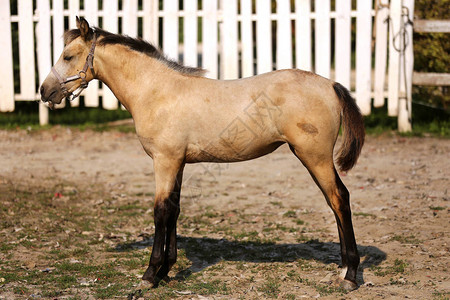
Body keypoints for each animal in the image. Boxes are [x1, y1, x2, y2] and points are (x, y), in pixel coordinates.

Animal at [40, 17, 366, 290]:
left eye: (68, 56)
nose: (45, 91)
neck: (157, 92)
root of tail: (331, 84)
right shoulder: (178, 163)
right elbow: (173, 208)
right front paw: (166, 270)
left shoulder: (165, 161)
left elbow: (160, 211)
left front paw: (150, 274)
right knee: (335, 201)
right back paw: (343, 268)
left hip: (315, 157)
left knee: (339, 199)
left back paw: (350, 275)